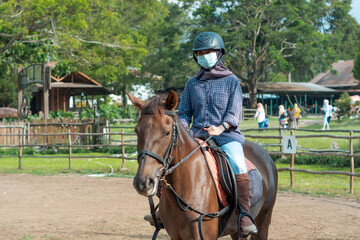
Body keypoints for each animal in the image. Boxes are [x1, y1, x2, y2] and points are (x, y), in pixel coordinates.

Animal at [126, 90, 278, 240]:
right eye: (137, 131)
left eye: (167, 133)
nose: (143, 182)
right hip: (236, 231)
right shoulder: (175, 235)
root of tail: (266, 156)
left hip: (263, 223)